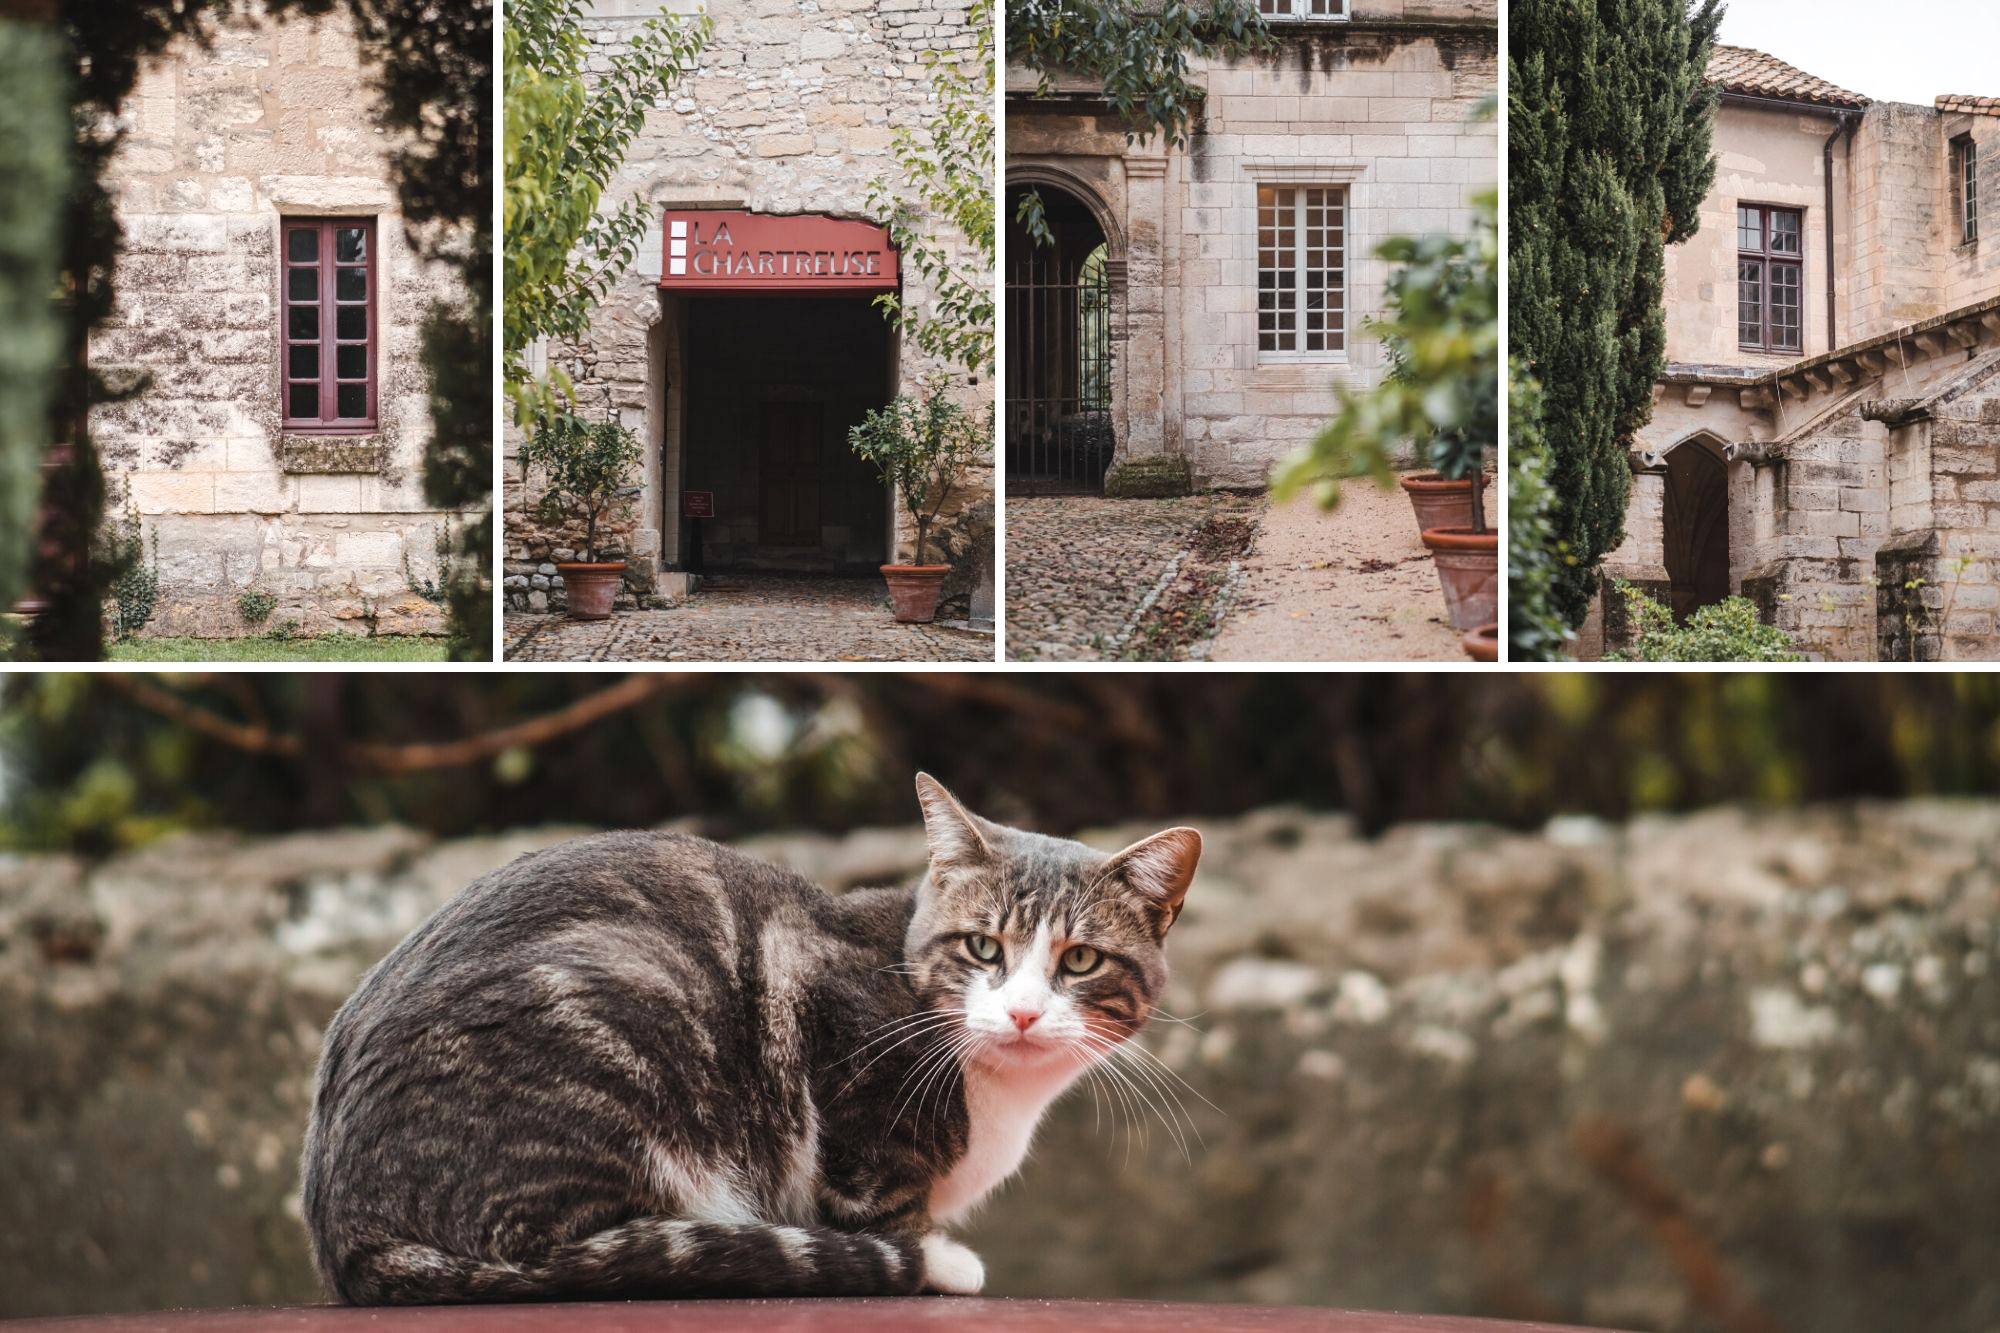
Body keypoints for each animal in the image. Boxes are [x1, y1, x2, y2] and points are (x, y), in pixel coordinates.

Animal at [304, 768, 1192, 1296]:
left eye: (1080, 959)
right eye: (983, 947)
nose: (1024, 1011)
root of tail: (349, 1228)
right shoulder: (843, 1046)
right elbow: (882, 1210)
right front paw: (921, 1258)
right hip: (631, 1006)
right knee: (568, 1258)